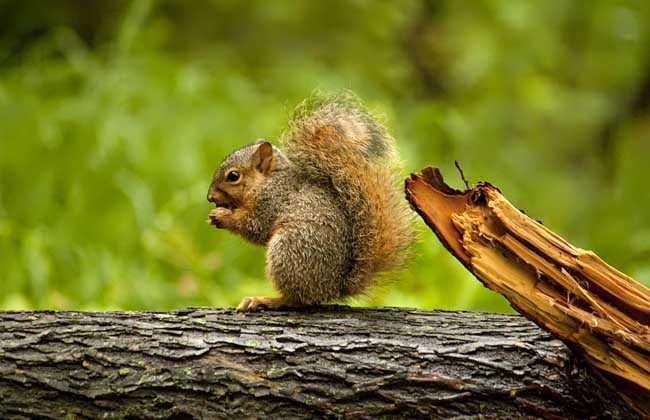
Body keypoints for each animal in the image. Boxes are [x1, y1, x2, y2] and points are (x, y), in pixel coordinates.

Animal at [205, 94, 412, 312]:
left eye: (233, 176)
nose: (210, 197)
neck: (269, 180)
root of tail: (332, 288)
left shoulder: (271, 201)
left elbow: (254, 226)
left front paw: (222, 216)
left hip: (288, 251)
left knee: (297, 299)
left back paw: (266, 300)